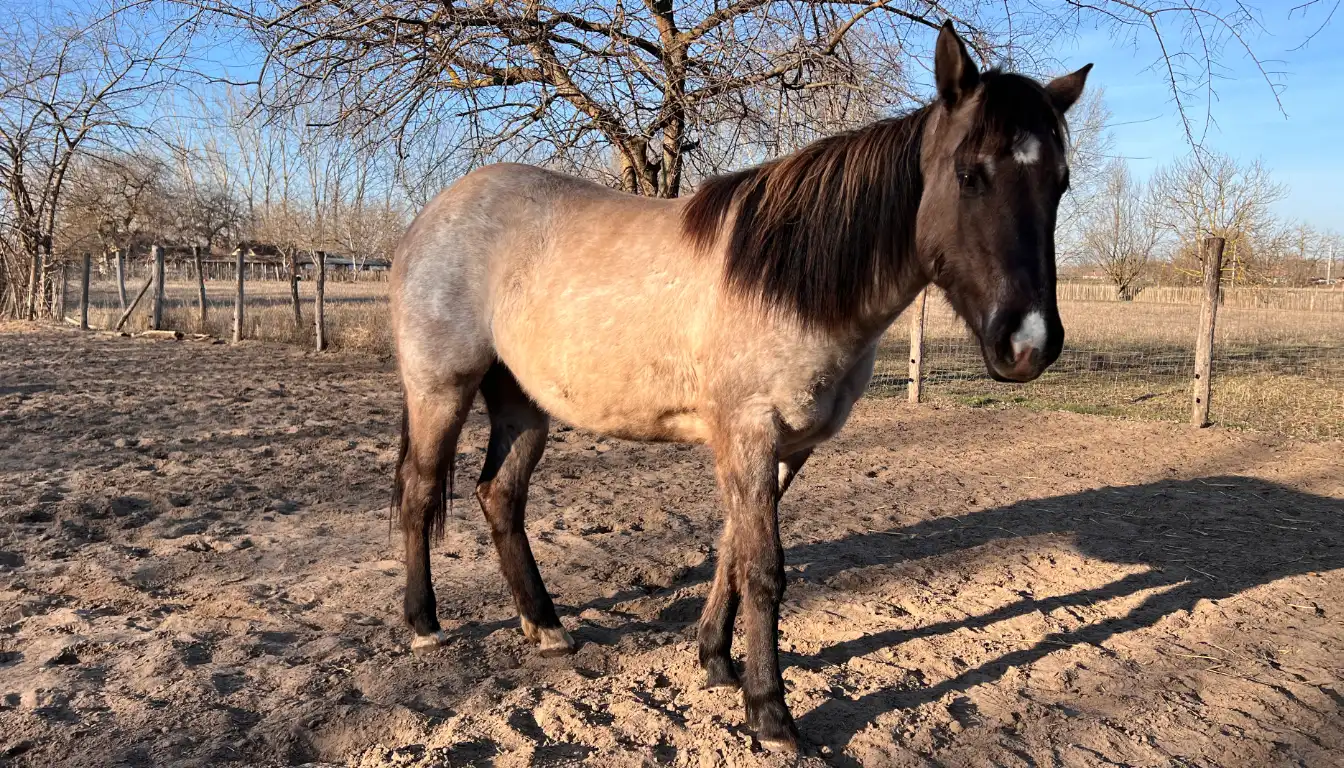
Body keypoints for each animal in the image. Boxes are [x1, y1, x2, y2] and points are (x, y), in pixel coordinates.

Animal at [389, 21, 1090, 751]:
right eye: (970, 174)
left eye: (1060, 184)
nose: (1030, 342)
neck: (792, 285)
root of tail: (432, 216)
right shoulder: (750, 432)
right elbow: (764, 568)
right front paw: (770, 711)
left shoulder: (786, 445)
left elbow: (731, 550)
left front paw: (716, 661)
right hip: (441, 388)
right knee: (419, 490)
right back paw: (424, 626)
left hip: (523, 402)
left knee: (499, 496)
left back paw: (546, 627)